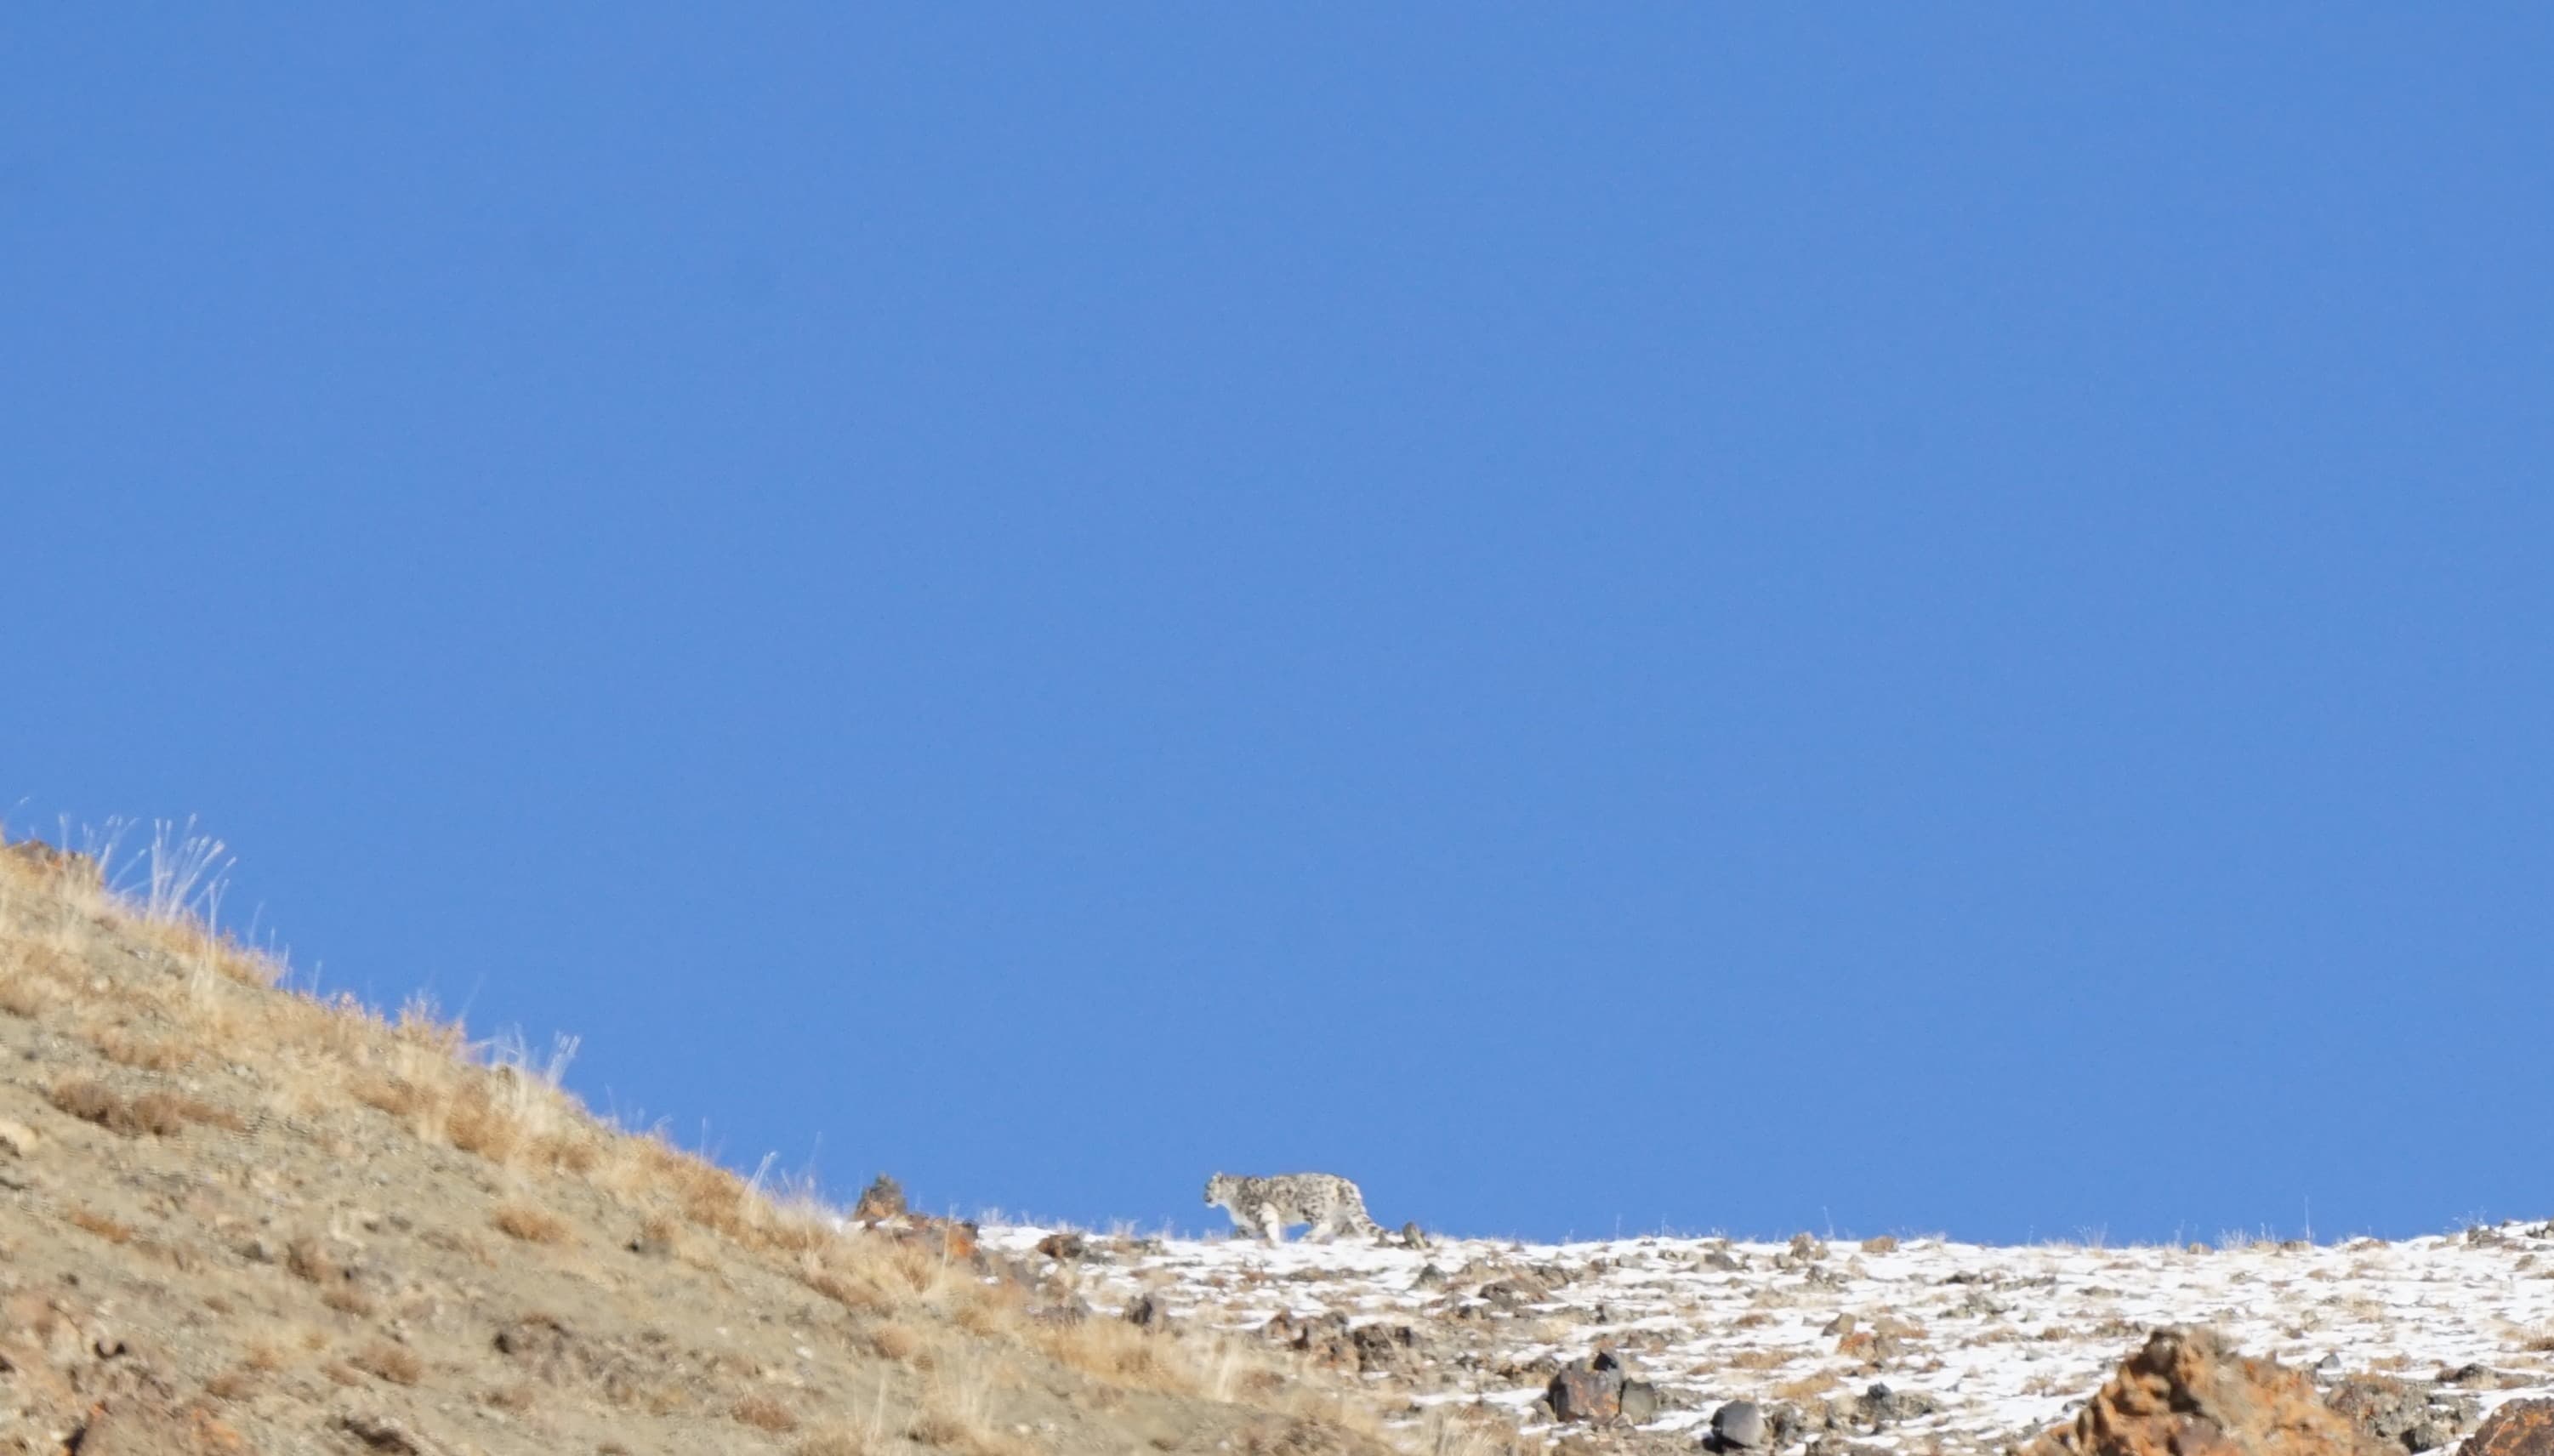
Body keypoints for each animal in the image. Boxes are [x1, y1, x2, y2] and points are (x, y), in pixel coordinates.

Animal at [1202, 1171, 1384, 1244]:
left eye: (1207, 1187)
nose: (1204, 1198)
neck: (1229, 1204)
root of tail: (1344, 1182)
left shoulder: (1261, 1211)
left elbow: (1268, 1228)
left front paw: (1271, 1241)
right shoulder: (1245, 1226)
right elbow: (1237, 1235)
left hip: (1310, 1206)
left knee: (1324, 1223)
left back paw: (1307, 1237)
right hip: (1343, 1219)